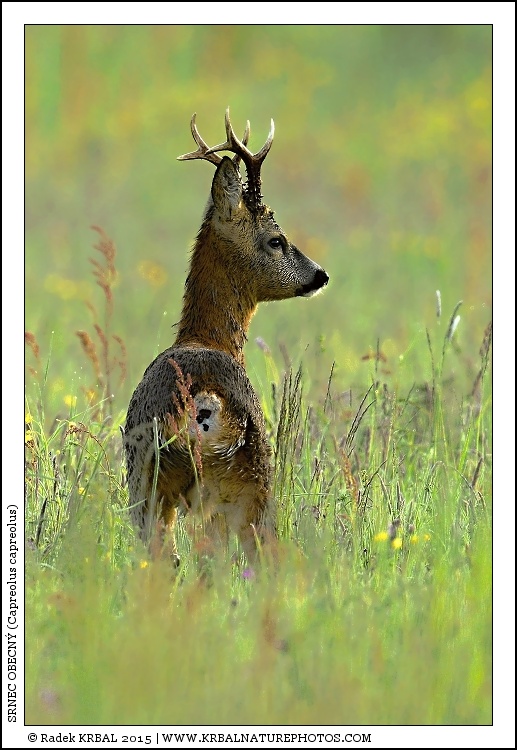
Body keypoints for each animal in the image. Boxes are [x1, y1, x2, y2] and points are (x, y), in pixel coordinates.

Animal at [123, 108, 329, 568]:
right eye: (277, 240)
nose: (320, 274)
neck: (206, 337)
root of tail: (206, 402)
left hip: (160, 483)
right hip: (244, 481)